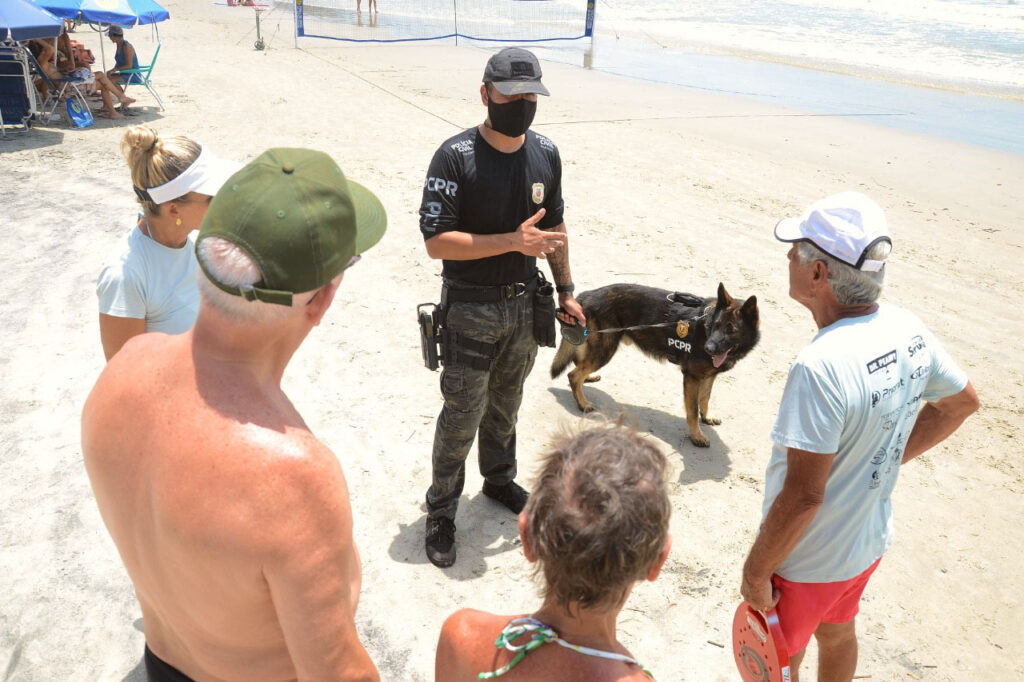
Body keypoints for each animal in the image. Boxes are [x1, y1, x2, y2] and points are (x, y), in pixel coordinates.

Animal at [552, 280, 761, 446]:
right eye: (715, 325)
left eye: (730, 330)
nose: (708, 348)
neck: (705, 328)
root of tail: (587, 294)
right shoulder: (692, 378)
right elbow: (692, 410)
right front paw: (696, 435)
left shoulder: (709, 376)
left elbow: (705, 398)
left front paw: (707, 416)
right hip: (605, 350)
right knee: (573, 374)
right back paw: (583, 403)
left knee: (579, 365)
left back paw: (588, 379)